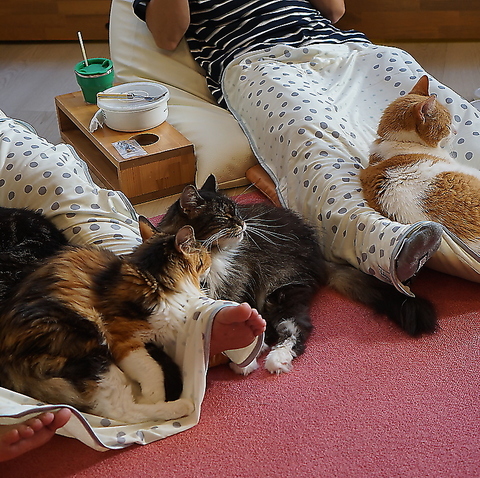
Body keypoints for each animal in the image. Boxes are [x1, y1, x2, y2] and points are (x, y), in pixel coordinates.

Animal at [0, 207, 208, 423]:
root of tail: (6, 364)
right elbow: (152, 370)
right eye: (203, 256)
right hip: (90, 348)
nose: (210, 260)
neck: (153, 278)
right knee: (120, 409)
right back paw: (180, 406)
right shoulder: (121, 340)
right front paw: (153, 396)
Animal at [156, 174, 437, 374]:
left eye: (236, 211)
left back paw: (274, 360)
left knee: (296, 328)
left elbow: (236, 319)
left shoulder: (238, 285)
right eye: (224, 217)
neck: (212, 258)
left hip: (281, 289)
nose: (244, 224)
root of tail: (317, 253)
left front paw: (245, 358)